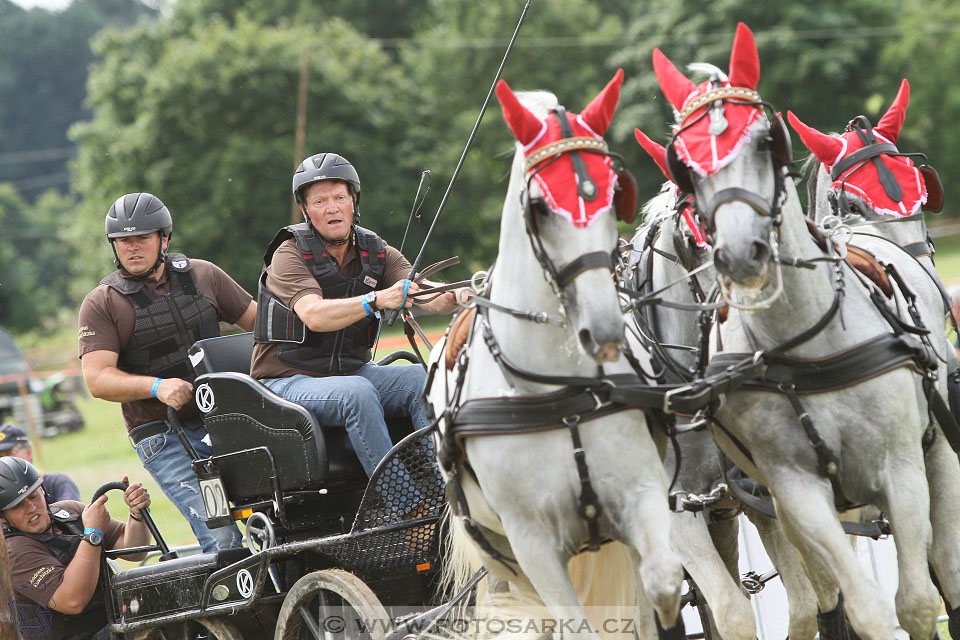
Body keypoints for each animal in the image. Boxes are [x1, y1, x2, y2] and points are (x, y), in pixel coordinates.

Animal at [426, 71, 684, 640]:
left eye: (614, 195)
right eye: (541, 207)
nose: (604, 329)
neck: (558, 390)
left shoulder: (641, 494)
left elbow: (660, 588)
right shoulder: (533, 545)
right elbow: (573, 626)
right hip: (501, 559)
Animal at [636, 22, 952, 640]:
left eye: (921, 192)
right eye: (691, 221)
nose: (741, 262)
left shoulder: (892, 471)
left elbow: (897, 600)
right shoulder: (729, 503)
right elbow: (756, 609)